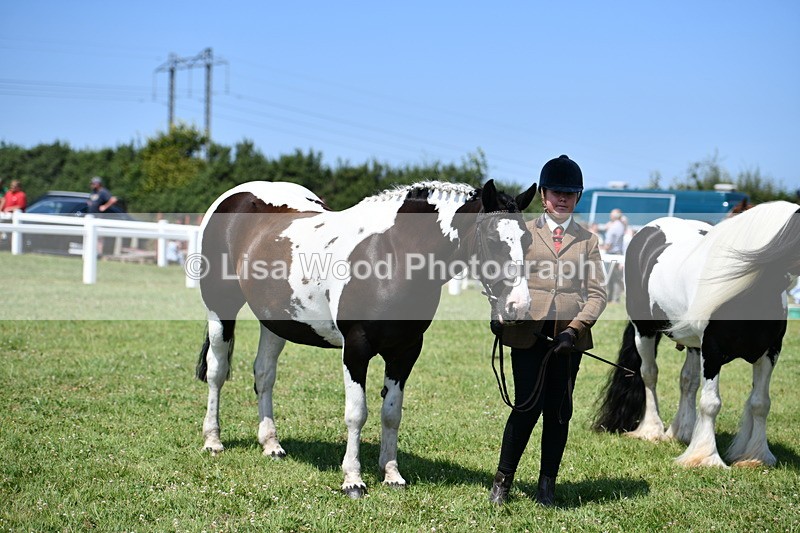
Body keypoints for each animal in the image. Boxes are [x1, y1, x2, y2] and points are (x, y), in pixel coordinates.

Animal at [195, 178, 537, 498]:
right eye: (493, 239)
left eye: (528, 239)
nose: (518, 307)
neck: (392, 253)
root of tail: (235, 196)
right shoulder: (356, 350)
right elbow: (357, 414)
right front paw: (353, 480)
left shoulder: (405, 351)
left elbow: (391, 414)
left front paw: (392, 474)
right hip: (220, 308)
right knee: (217, 372)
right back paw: (213, 440)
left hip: (276, 321)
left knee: (264, 375)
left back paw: (271, 444)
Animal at [593, 201, 800, 467]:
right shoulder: (712, 351)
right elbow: (711, 403)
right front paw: (706, 457)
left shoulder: (769, 352)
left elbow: (760, 403)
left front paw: (756, 456)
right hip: (644, 332)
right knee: (649, 374)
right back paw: (652, 430)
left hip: (693, 344)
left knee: (687, 381)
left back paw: (682, 431)